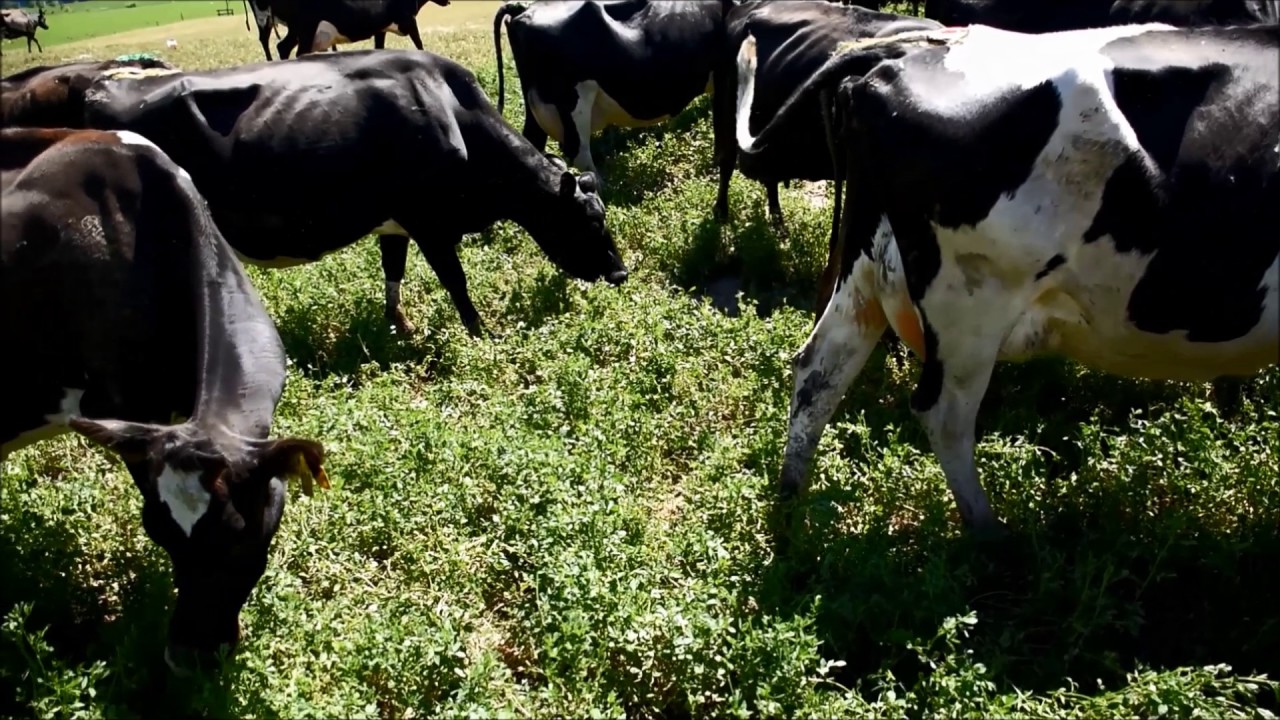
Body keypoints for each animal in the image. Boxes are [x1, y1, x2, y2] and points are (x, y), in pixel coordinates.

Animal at [0, 50, 629, 338]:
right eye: (592, 222)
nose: (622, 273)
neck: (452, 116)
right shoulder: (430, 220)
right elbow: (457, 282)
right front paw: (480, 336)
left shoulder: (396, 222)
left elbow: (393, 273)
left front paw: (400, 329)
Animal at [493, 0, 731, 190]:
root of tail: (524, 8)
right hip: (571, 100)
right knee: (577, 149)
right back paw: (601, 187)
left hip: (537, 104)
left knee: (534, 141)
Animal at [713, 0, 941, 230]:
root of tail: (744, 7)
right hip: (726, 111)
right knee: (727, 162)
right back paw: (721, 214)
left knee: (770, 174)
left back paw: (778, 223)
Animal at [735, 22, 1280, 536]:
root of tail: (912, 49)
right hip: (971, 301)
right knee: (943, 413)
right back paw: (991, 535)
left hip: (867, 265)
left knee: (819, 372)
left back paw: (790, 509)